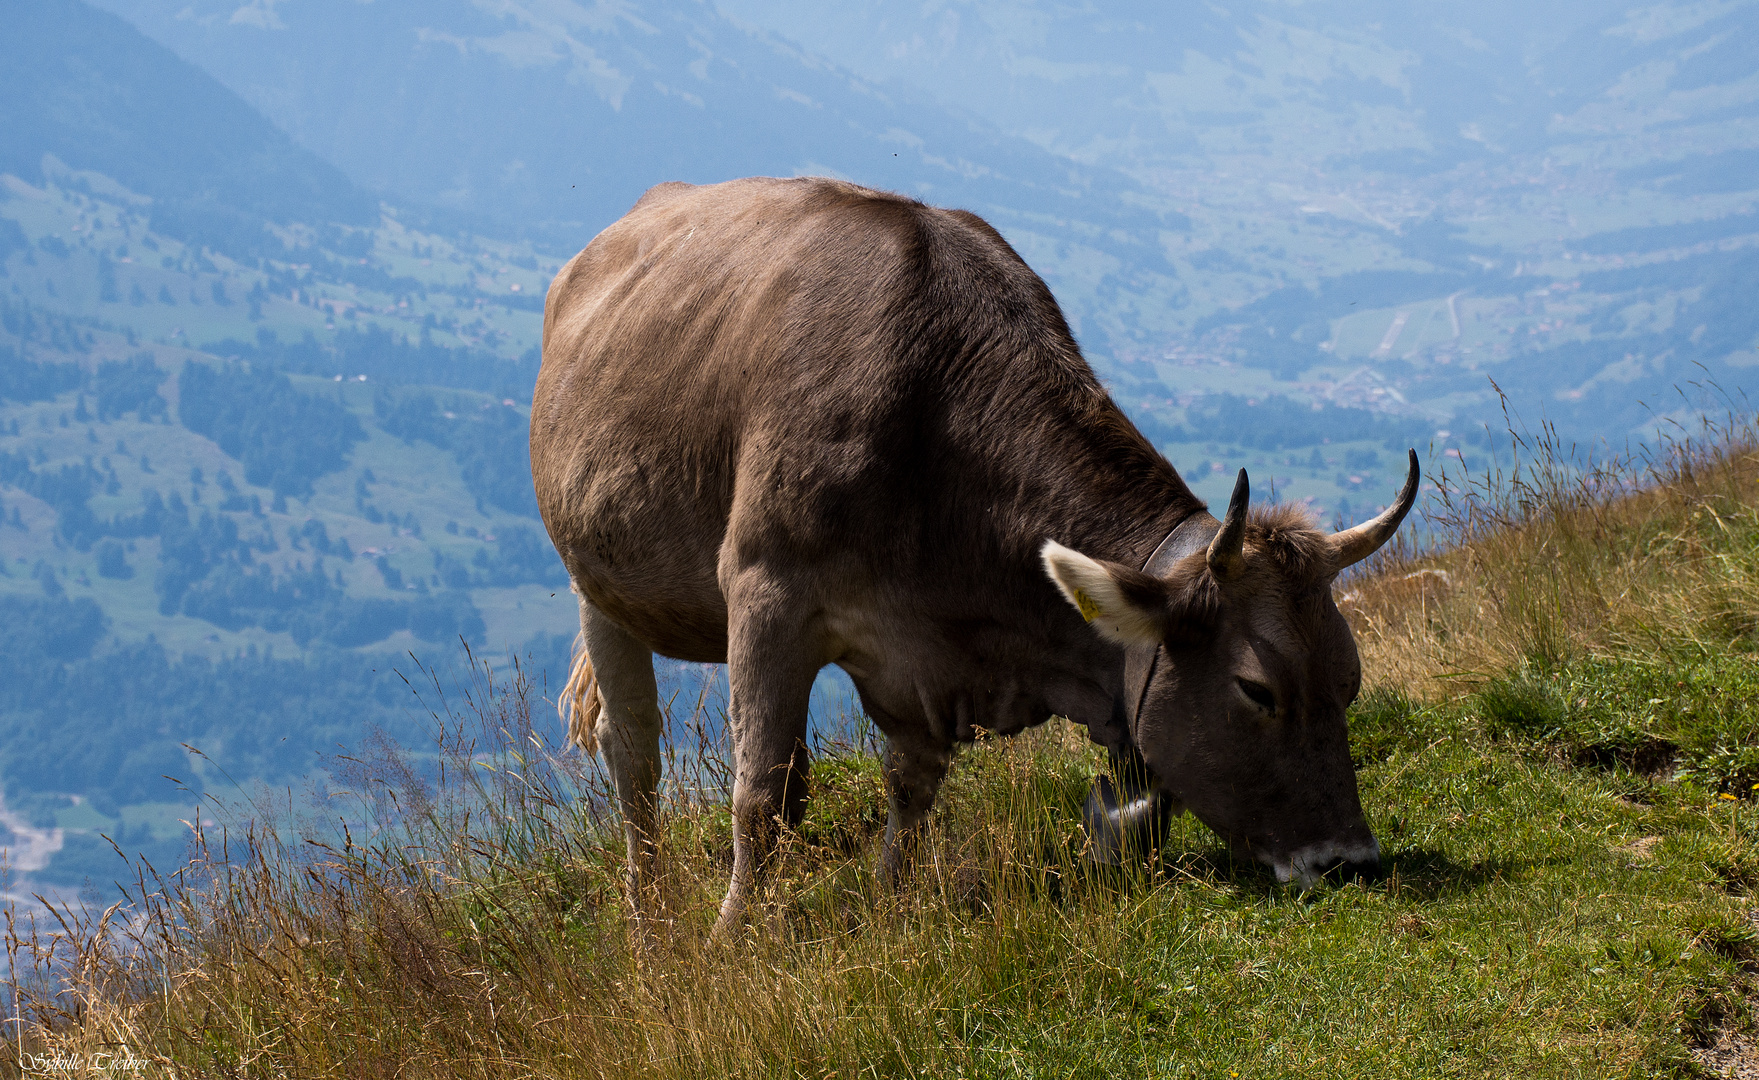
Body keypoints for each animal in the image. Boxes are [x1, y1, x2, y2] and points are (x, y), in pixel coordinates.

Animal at [531, 180, 1414, 942]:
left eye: (1349, 680)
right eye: (1256, 690)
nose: (1347, 861)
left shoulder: (921, 661)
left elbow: (911, 784)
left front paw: (891, 905)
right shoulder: (766, 595)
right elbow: (765, 795)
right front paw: (732, 939)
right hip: (595, 581)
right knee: (632, 751)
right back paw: (649, 924)